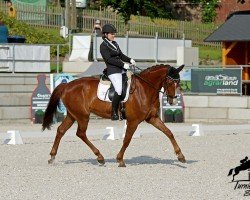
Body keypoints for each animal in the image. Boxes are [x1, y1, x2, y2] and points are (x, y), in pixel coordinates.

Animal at [42, 63, 186, 166]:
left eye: (178, 82)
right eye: (169, 81)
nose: (173, 101)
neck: (145, 89)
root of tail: (66, 86)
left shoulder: (152, 118)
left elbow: (169, 133)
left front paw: (180, 156)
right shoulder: (133, 121)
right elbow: (127, 139)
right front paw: (120, 159)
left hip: (72, 115)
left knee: (61, 130)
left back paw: (52, 157)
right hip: (83, 116)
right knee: (80, 133)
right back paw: (100, 157)